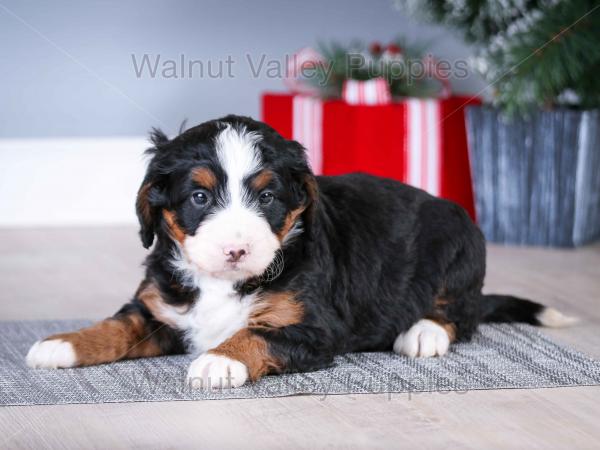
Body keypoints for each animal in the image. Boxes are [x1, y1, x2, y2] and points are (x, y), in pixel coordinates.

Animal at [24, 115, 576, 386]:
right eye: (199, 197)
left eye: (267, 197)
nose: (236, 249)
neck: (223, 283)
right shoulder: (158, 306)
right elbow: (117, 325)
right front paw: (64, 342)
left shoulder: (312, 327)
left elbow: (253, 335)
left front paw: (219, 361)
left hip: (460, 242)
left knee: (461, 312)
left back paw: (422, 333)